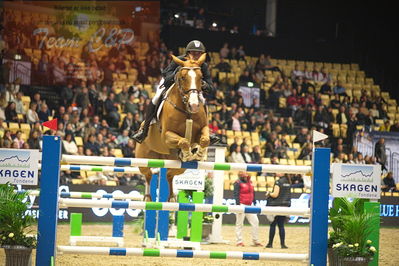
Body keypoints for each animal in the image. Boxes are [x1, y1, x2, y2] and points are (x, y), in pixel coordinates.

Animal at [136, 53, 211, 201]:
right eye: (182, 77)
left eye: (201, 78)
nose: (194, 105)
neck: (187, 110)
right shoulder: (166, 136)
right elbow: (184, 141)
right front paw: (187, 154)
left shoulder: (202, 130)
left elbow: (205, 139)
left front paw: (198, 154)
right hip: (143, 159)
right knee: (148, 174)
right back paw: (147, 197)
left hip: (177, 165)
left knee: (169, 174)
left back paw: (171, 197)